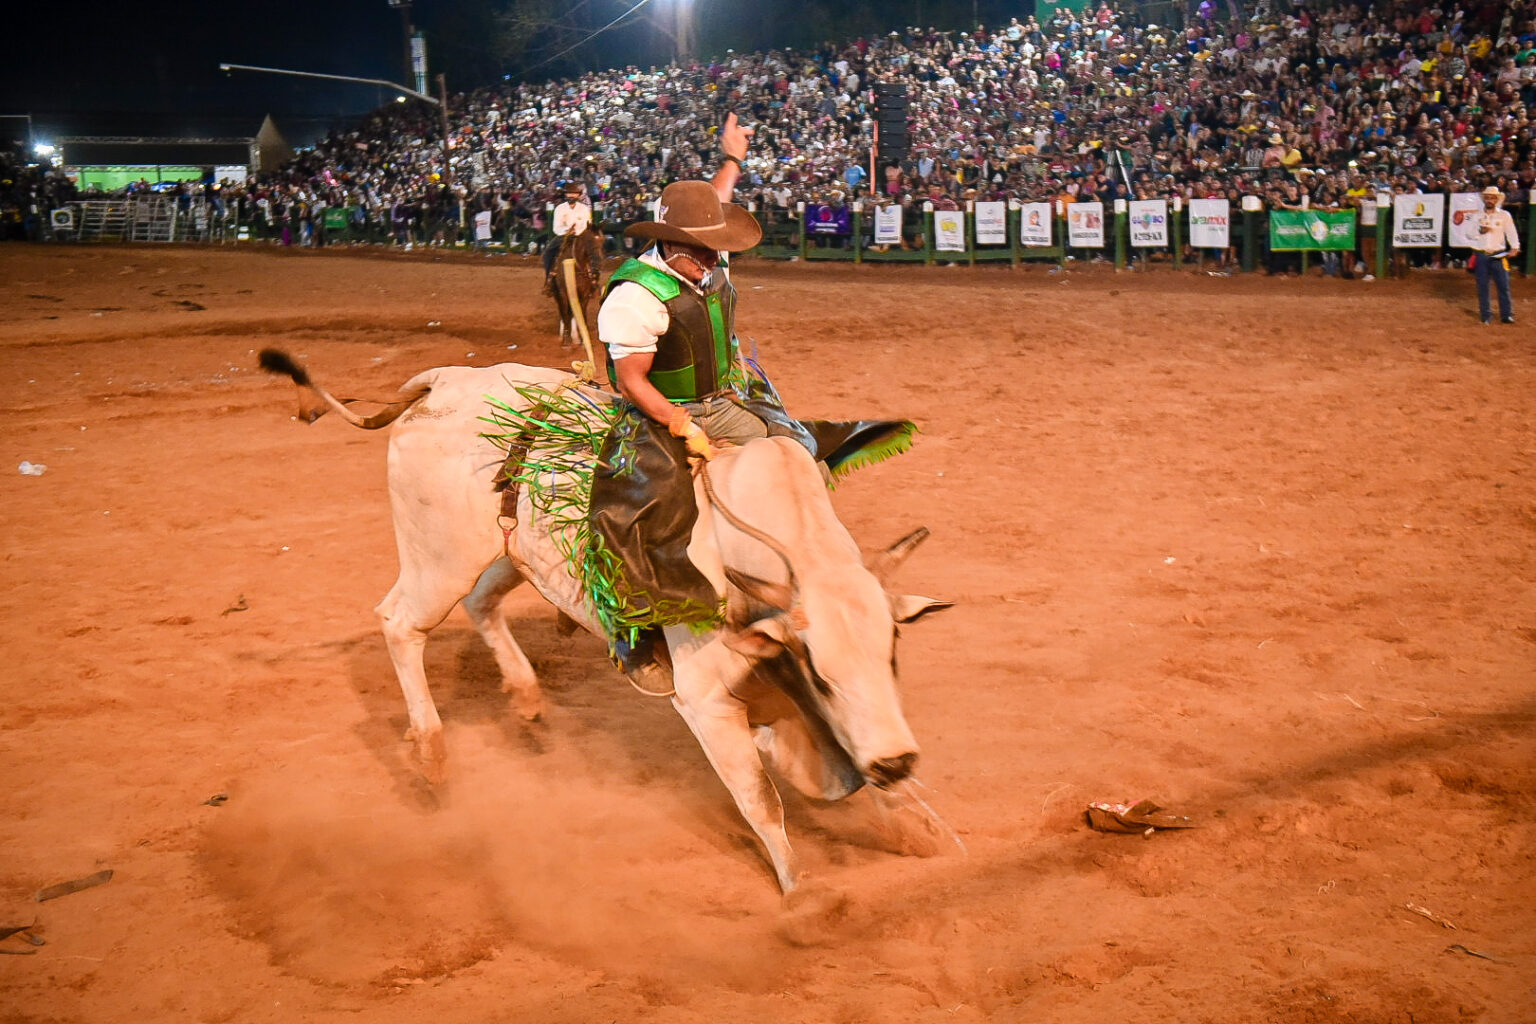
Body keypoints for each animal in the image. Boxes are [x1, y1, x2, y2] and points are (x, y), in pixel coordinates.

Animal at [258, 353, 940, 896]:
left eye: (892, 655)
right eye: (820, 675)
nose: (898, 762)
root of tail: (446, 380)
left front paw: (919, 825)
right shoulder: (707, 698)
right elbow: (759, 798)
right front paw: (802, 892)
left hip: (512, 553)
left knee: (480, 604)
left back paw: (525, 697)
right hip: (438, 559)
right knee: (400, 623)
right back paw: (431, 753)